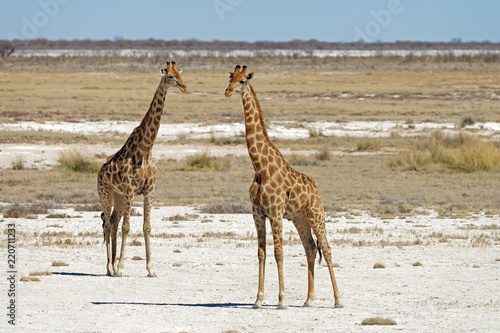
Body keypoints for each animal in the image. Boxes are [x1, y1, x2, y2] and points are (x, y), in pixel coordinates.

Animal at [96, 61, 187, 276]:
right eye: (170, 76)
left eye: (180, 74)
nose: (184, 86)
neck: (145, 149)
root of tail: (99, 173)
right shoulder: (130, 189)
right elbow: (127, 228)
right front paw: (121, 267)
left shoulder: (149, 190)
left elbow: (147, 227)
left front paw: (151, 269)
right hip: (106, 193)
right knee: (108, 225)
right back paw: (109, 267)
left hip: (119, 196)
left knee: (113, 222)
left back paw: (112, 266)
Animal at [227, 65, 344, 308]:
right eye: (230, 77)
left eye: (243, 81)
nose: (228, 91)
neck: (260, 167)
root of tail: (316, 188)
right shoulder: (257, 213)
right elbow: (261, 253)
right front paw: (258, 300)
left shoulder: (275, 211)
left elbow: (278, 252)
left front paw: (281, 300)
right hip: (300, 218)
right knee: (310, 249)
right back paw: (308, 300)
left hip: (316, 214)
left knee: (327, 249)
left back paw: (338, 300)